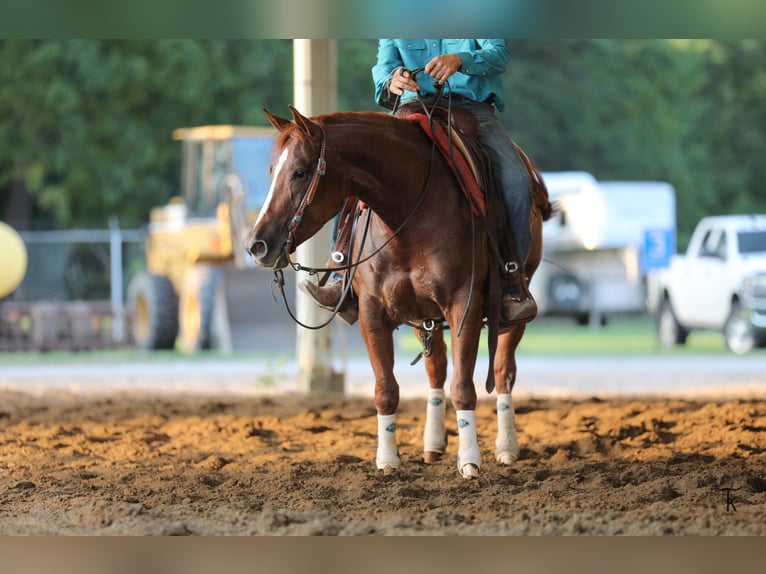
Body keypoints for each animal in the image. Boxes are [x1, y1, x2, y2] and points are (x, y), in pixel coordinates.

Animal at [246, 105, 552, 479]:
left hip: (510, 310)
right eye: (272, 170)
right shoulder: (372, 313)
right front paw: (388, 460)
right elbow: (386, 389)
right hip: (423, 318)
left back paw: (506, 447)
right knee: (437, 369)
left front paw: (469, 461)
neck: (410, 212)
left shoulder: (462, 306)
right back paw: (433, 445)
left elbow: (464, 388)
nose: (257, 246)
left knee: (503, 371)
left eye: (300, 172)